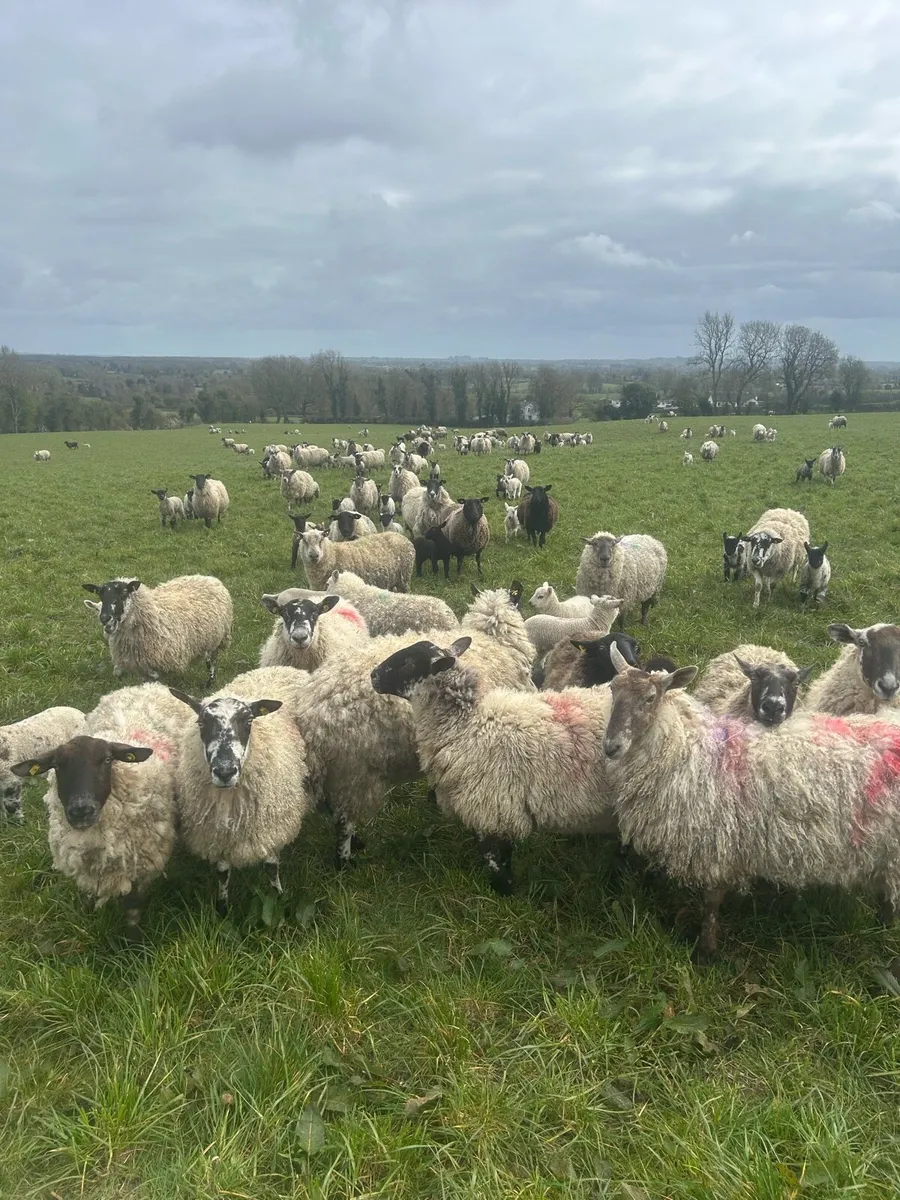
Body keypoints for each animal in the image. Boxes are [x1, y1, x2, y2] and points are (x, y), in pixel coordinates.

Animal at [82, 574, 233, 682]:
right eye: (100, 595)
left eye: (124, 594)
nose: (105, 618)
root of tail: (208, 578)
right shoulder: (140, 665)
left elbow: (155, 677)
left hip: (219, 637)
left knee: (213, 659)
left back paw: (210, 681)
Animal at [170, 668, 312, 913]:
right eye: (201, 723)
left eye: (248, 721)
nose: (225, 771)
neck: (230, 800)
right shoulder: (218, 836)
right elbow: (222, 872)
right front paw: (222, 907)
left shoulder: (269, 829)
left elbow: (271, 868)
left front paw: (278, 898)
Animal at [290, 585, 535, 866]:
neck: (494, 640)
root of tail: (311, 713)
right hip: (353, 773)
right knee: (343, 822)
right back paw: (345, 861)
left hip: (338, 774)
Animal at [370, 636, 618, 893]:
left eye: (408, 663)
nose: (373, 675)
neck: (467, 725)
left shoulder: (493, 809)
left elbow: (496, 860)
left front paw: (504, 893)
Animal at [602, 645, 900, 958]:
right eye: (612, 689)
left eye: (650, 698)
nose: (611, 747)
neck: (686, 750)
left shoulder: (717, 847)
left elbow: (711, 903)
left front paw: (706, 951)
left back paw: (883, 927)